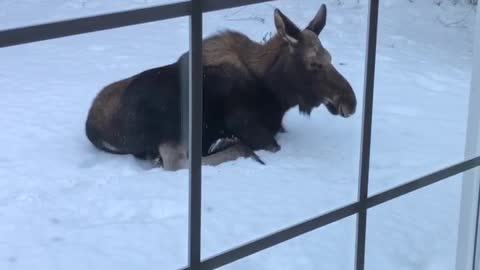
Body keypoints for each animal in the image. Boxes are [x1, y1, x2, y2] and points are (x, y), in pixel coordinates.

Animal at [85, 4, 356, 171]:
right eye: (314, 63)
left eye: (330, 57)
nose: (350, 101)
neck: (276, 94)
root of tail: (93, 128)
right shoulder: (245, 122)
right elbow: (273, 146)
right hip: (174, 123)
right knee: (177, 163)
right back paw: (227, 144)